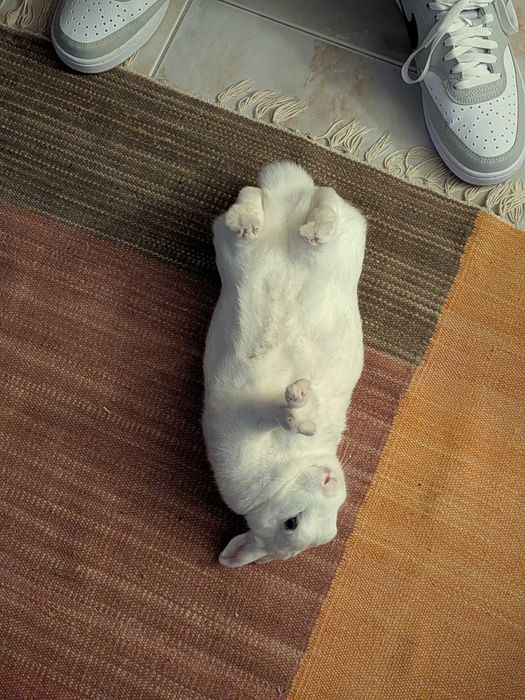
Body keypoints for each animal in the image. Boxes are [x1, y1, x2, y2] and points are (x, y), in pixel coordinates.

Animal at [202, 161, 366, 568]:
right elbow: (272, 412)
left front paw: (300, 406)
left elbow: (275, 411)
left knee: (322, 200)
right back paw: (255, 220)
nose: (328, 480)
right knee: (269, 200)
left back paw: (306, 224)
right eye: (291, 523)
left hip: (333, 248)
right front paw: (300, 408)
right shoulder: (245, 423)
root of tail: (286, 193)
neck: (286, 475)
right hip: (236, 249)